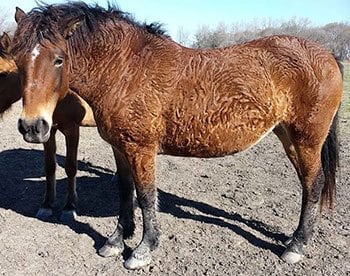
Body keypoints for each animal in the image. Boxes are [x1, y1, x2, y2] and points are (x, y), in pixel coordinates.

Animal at [1, 30, 98, 220]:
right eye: (19, 64)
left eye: (2, 74)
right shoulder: (46, 131)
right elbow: (50, 167)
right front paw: (47, 204)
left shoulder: (72, 130)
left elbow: (71, 167)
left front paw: (69, 206)